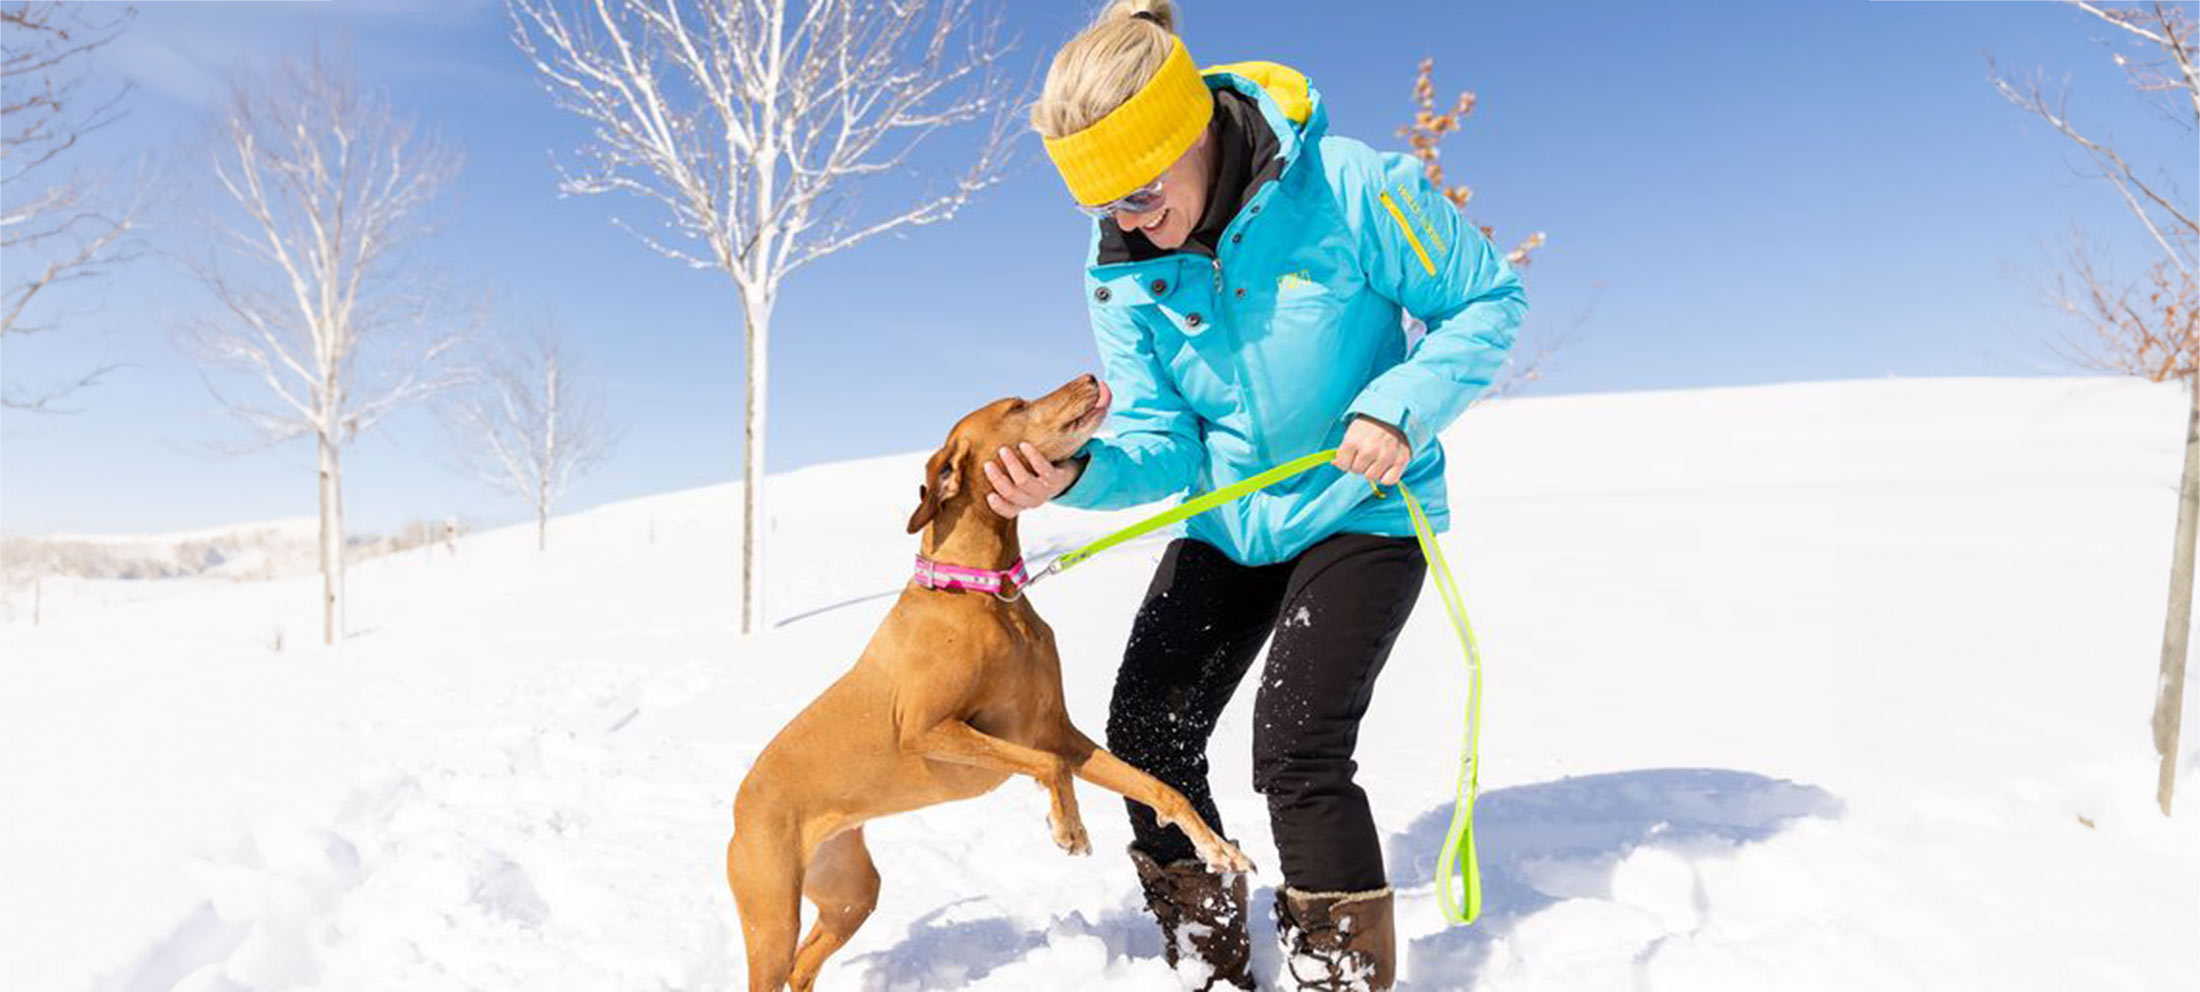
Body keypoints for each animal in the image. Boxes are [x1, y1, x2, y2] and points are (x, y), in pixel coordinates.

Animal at [730, 373, 1258, 992]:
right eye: (1017, 406)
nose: (1090, 377)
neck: (983, 595)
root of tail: (742, 801)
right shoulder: (930, 731)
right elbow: (1048, 769)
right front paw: (1069, 828)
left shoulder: (1058, 733)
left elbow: (1158, 787)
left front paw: (1218, 850)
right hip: (771, 915)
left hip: (849, 895)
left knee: (805, 964)